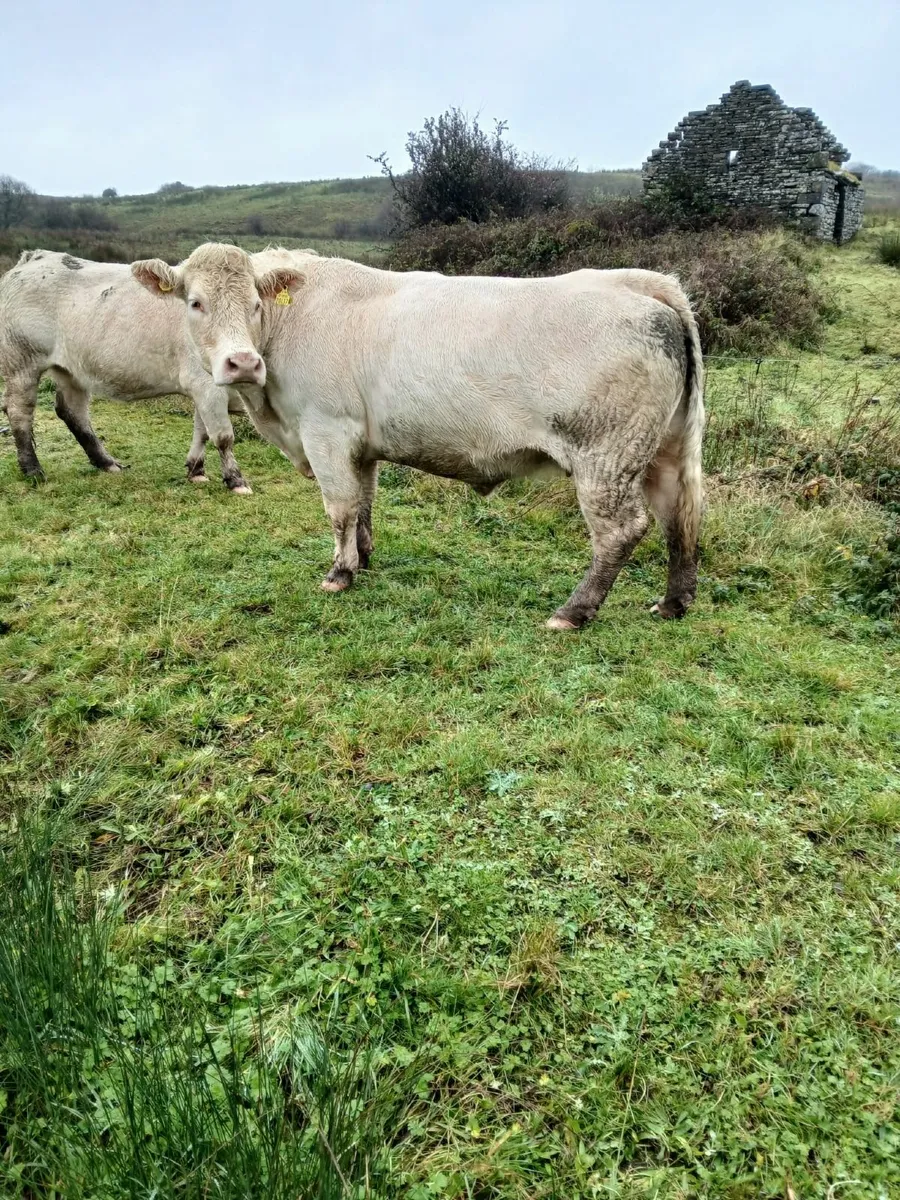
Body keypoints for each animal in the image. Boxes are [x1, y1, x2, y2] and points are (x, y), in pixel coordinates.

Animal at [0, 248, 256, 491]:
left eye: (255, 305)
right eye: (196, 303)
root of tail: (34, 258)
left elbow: (201, 430)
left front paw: (197, 470)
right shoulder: (205, 384)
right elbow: (222, 436)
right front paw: (236, 479)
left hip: (71, 369)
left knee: (72, 411)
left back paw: (106, 462)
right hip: (21, 361)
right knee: (19, 411)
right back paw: (32, 469)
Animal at [132, 243, 705, 630]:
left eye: (254, 302)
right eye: (195, 303)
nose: (243, 362)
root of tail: (641, 283)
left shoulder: (326, 430)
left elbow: (339, 507)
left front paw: (339, 573)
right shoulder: (361, 443)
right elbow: (364, 503)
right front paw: (362, 559)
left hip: (604, 455)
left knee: (622, 531)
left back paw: (574, 611)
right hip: (666, 449)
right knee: (680, 517)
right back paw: (672, 603)